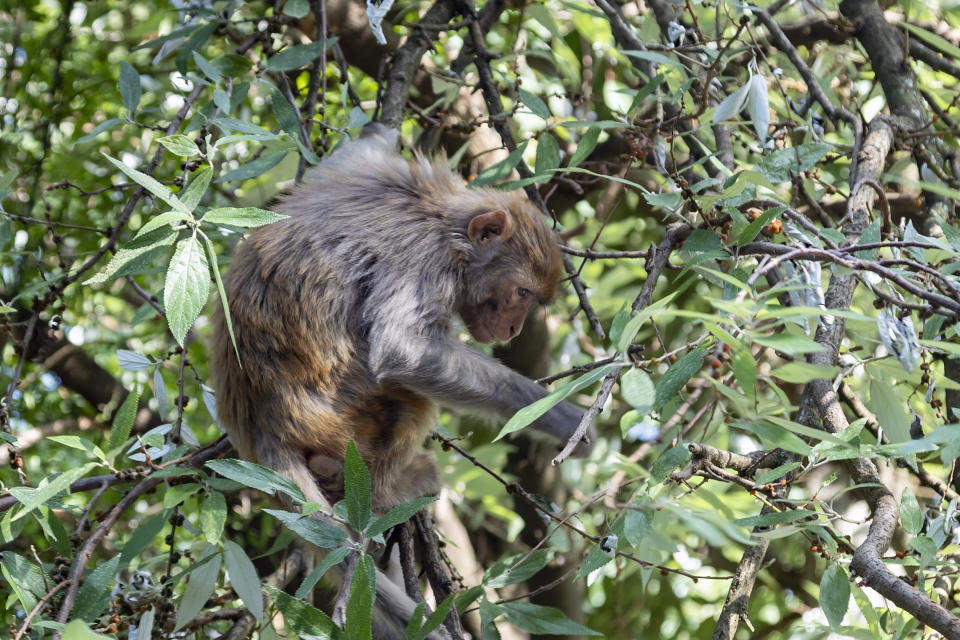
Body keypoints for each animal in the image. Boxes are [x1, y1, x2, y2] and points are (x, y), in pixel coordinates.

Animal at [210, 124, 592, 636]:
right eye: (522, 293)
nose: (513, 329)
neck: (441, 217)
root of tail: (261, 426)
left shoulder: (366, 171)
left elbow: (351, 156)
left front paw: (382, 129)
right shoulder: (427, 263)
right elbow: (401, 351)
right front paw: (557, 415)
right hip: (349, 422)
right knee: (413, 401)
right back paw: (399, 490)